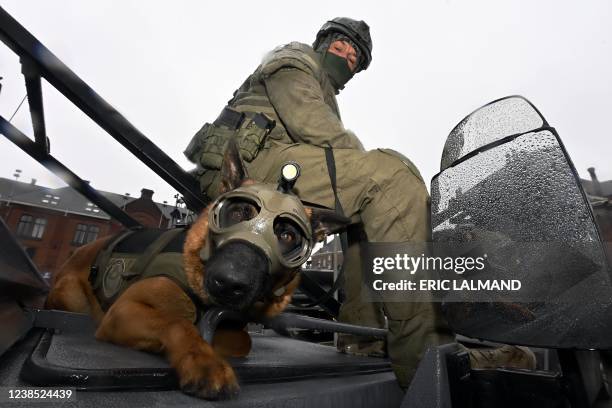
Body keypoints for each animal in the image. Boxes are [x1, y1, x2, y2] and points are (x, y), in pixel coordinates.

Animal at [47, 139, 350, 398]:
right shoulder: (123, 310)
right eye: (237, 213)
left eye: (286, 236)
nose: (227, 282)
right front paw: (204, 361)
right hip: (70, 294)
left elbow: (241, 339)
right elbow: (178, 323)